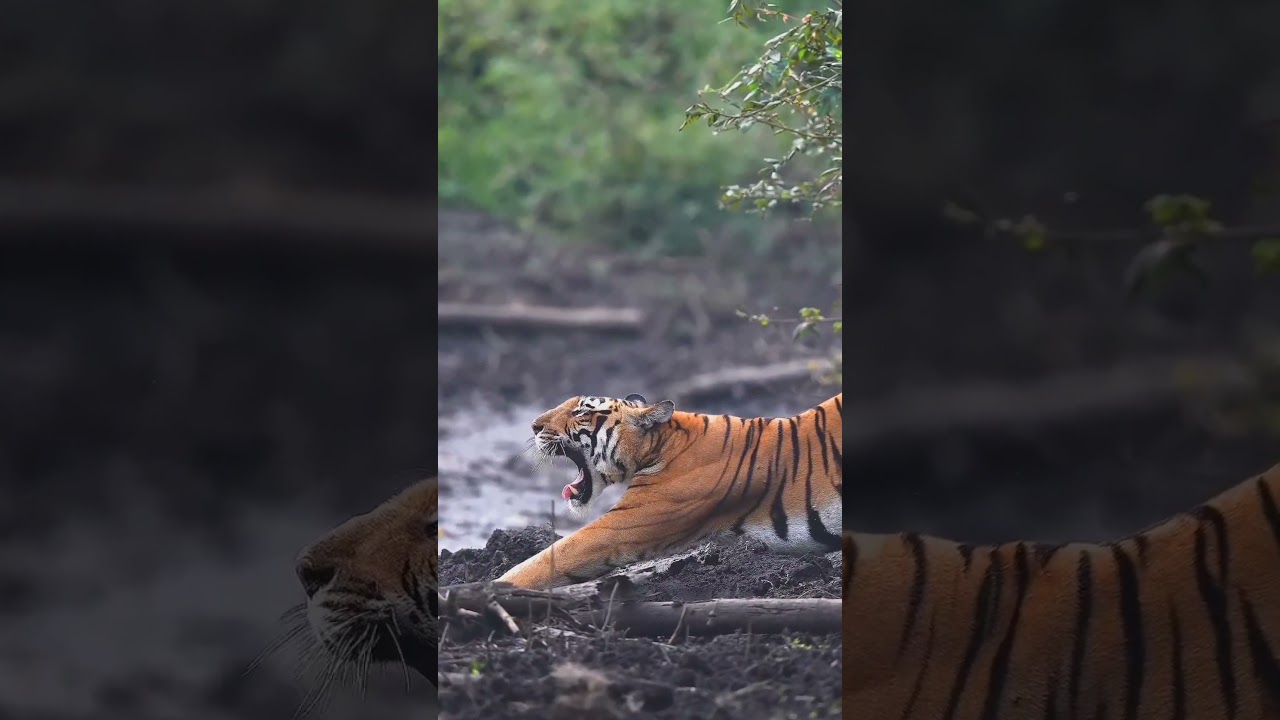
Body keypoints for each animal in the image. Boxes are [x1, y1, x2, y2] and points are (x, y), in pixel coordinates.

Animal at [497, 392, 843, 589]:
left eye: (582, 411)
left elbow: (547, 559)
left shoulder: (620, 527)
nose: (534, 425)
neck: (663, 442)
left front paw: (493, 588)